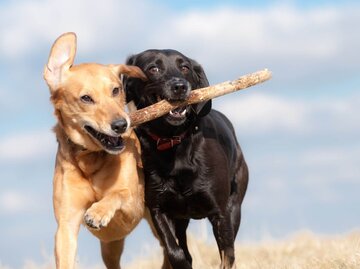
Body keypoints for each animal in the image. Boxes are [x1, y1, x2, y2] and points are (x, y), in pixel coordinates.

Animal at [124, 49, 248, 266]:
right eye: (153, 68)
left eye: (185, 67)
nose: (180, 86)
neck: (173, 143)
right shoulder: (159, 210)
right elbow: (175, 252)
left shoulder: (221, 212)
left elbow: (227, 254)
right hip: (181, 218)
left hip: (235, 204)